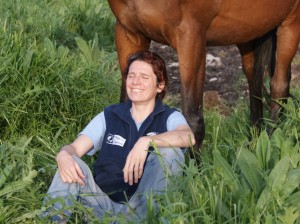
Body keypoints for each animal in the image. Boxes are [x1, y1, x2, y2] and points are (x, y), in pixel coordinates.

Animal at [107, 0, 300, 154]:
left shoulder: (191, 37)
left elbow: (193, 119)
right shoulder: (128, 33)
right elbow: (126, 105)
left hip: (291, 22)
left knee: (279, 87)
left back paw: (271, 146)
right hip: (249, 31)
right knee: (255, 80)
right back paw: (256, 143)